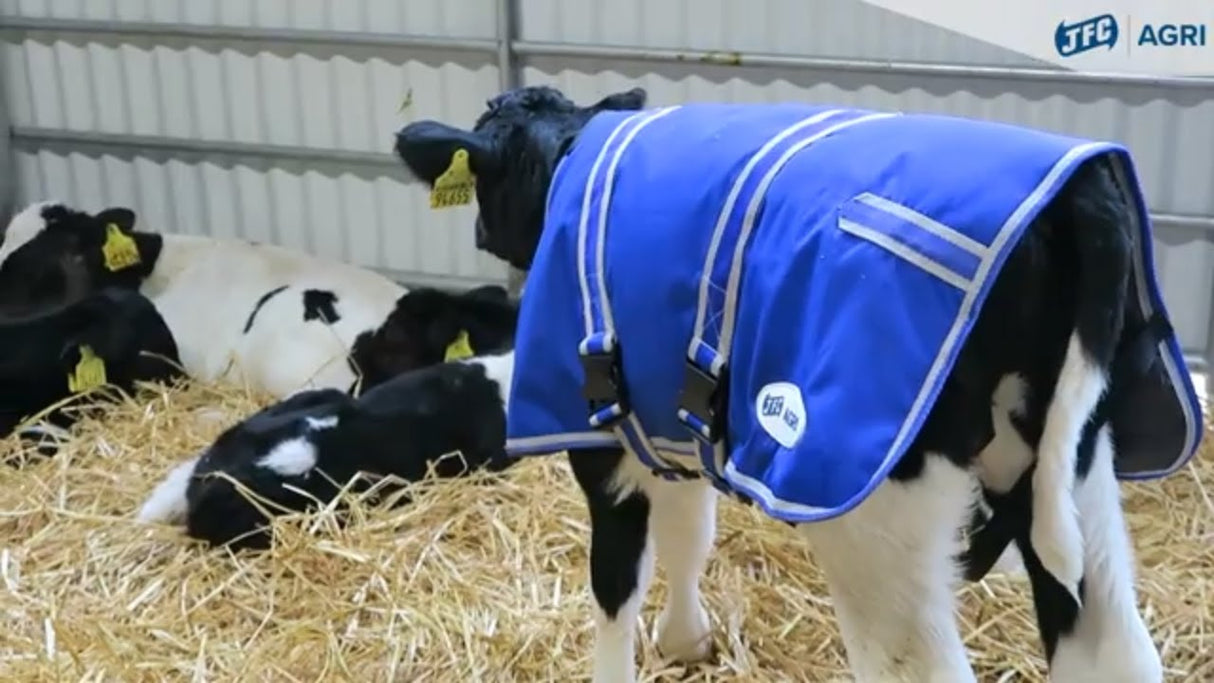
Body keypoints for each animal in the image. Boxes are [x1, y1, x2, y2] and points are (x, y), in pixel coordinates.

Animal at [391, 85, 1202, 683]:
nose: (483, 235)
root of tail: (1077, 197)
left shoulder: (601, 435)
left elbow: (617, 583)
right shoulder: (669, 416)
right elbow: (691, 532)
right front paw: (687, 640)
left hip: (879, 509)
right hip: (1068, 461)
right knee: (1114, 646)